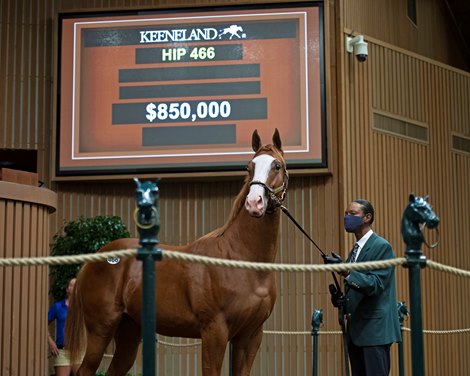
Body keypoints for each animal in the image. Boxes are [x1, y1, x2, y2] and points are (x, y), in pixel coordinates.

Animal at [64, 128, 288, 374]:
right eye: (249, 167)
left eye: (277, 166)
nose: (254, 203)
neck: (242, 261)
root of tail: (91, 261)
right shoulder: (215, 332)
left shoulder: (250, 336)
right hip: (100, 330)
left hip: (129, 332)